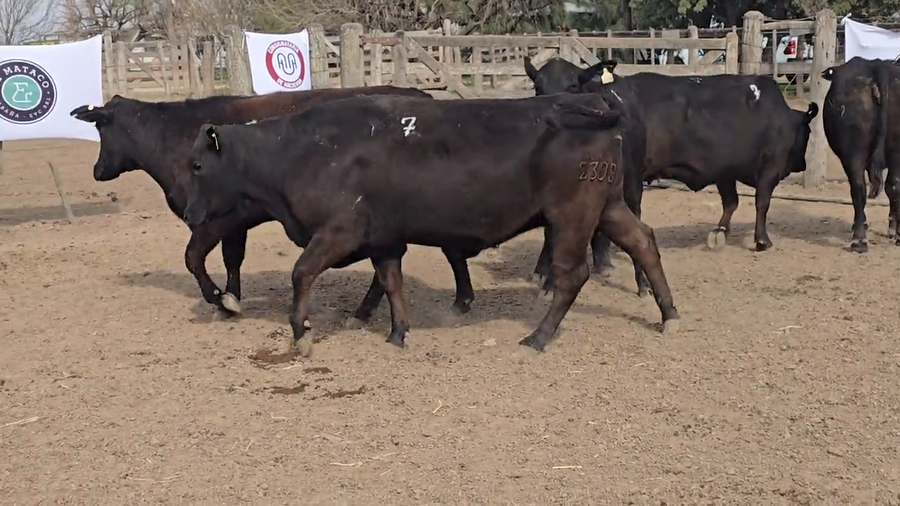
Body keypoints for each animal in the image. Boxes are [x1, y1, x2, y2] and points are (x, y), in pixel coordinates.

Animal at [69, 87, 478, 326]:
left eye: (101, 129)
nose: (97, 171)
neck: (176, 137)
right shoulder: (234, 223)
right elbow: (232, 258)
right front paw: (231, 296)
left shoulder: (216, 218)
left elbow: (194, 257)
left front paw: (220, 300)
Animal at [183, 93, 681, 353]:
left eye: (197, 166)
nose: (188, 213)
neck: (304, 151)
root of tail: (586, 105)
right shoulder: (383, 239)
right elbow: (391, 281)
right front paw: (397, 331)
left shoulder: (339, 232)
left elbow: (301, 272)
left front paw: (301, 333)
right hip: (609, 205)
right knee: (643, 242)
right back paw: (669, 314)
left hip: (572, 214)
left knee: (572, 274)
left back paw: (538, 336)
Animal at [524, 57, 819, 289]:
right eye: (537, 87)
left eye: (573, 85)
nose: (802, 164)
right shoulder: (770, 165)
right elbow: (762, 202)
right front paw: (762, 241)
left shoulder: (724, 171)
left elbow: (731, 202)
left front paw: (719, 234)